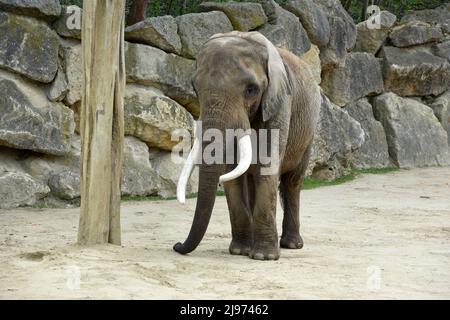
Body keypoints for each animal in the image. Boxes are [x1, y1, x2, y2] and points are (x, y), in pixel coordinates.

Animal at [173, 31, 320, 260]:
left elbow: (267, 165)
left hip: (309, 130)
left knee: (292, 181)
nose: (177, 245)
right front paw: (240, 251)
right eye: (195, 88)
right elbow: (232, 172)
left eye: (251, 89)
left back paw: (292, 245)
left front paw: (264, 257)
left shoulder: (279, 104)